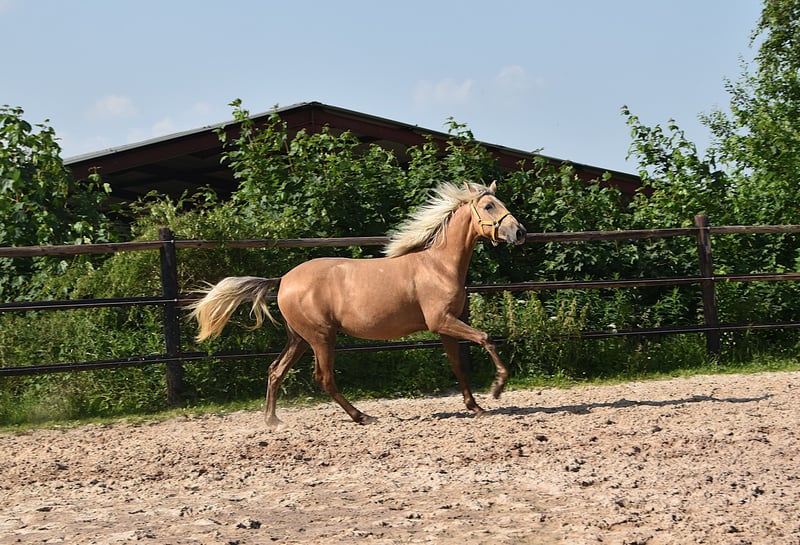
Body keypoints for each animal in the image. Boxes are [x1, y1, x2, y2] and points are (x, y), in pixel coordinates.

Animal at [189, 181, 527, 429]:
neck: (438, 265)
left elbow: (458, 366)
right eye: (488, 205)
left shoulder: (446, 327)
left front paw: (476, 406)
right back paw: (362, 416)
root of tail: (283, 279)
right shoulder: (441, 321)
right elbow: (486, 338)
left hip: (299, 338)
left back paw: (273, 421)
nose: (519, 232)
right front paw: (497, 387)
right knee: (324, 378)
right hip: (322, 337)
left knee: (275, 370)